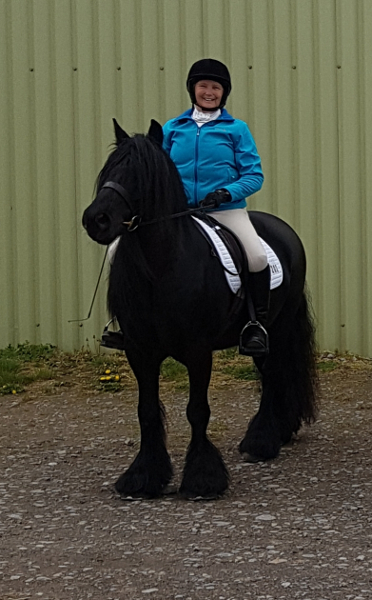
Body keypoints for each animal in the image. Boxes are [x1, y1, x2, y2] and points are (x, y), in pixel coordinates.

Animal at [82, 119, 316, 500]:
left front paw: (203, 478)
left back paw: (261, 442)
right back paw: (277, 432)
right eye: (108, 171)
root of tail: (283, 230)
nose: (96, 220)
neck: (161, 267)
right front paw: (143, 476)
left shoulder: (197, 351)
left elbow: (197, 410)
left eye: (141, 175)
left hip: (277, 328)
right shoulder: (139, 351)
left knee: (272, 374)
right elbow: (146, 411)